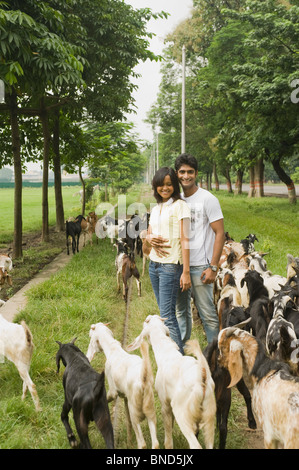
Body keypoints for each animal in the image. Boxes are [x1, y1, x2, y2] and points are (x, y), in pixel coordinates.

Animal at [127, 314, 217, 450]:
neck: (167, 355)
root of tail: (202, 379)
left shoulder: (165, 403)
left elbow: (168, 438)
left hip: (182, 413)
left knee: (195, 445)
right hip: (209, 414)